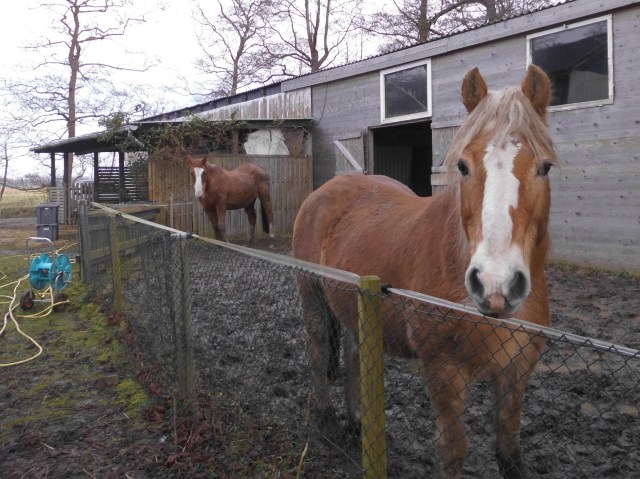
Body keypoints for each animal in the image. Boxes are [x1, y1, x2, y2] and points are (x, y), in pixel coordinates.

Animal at [292, 65, 556, 479]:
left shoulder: (517, 369)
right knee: (319, 351)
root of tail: (330, 187)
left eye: (545, 166)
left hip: (353, 301)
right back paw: (328, 423)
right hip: (313, 296)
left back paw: (357, 423)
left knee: (353, 354)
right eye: (463, 165)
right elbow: (452, 450)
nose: (495, 284)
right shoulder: (442, 369)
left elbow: (509, 452)